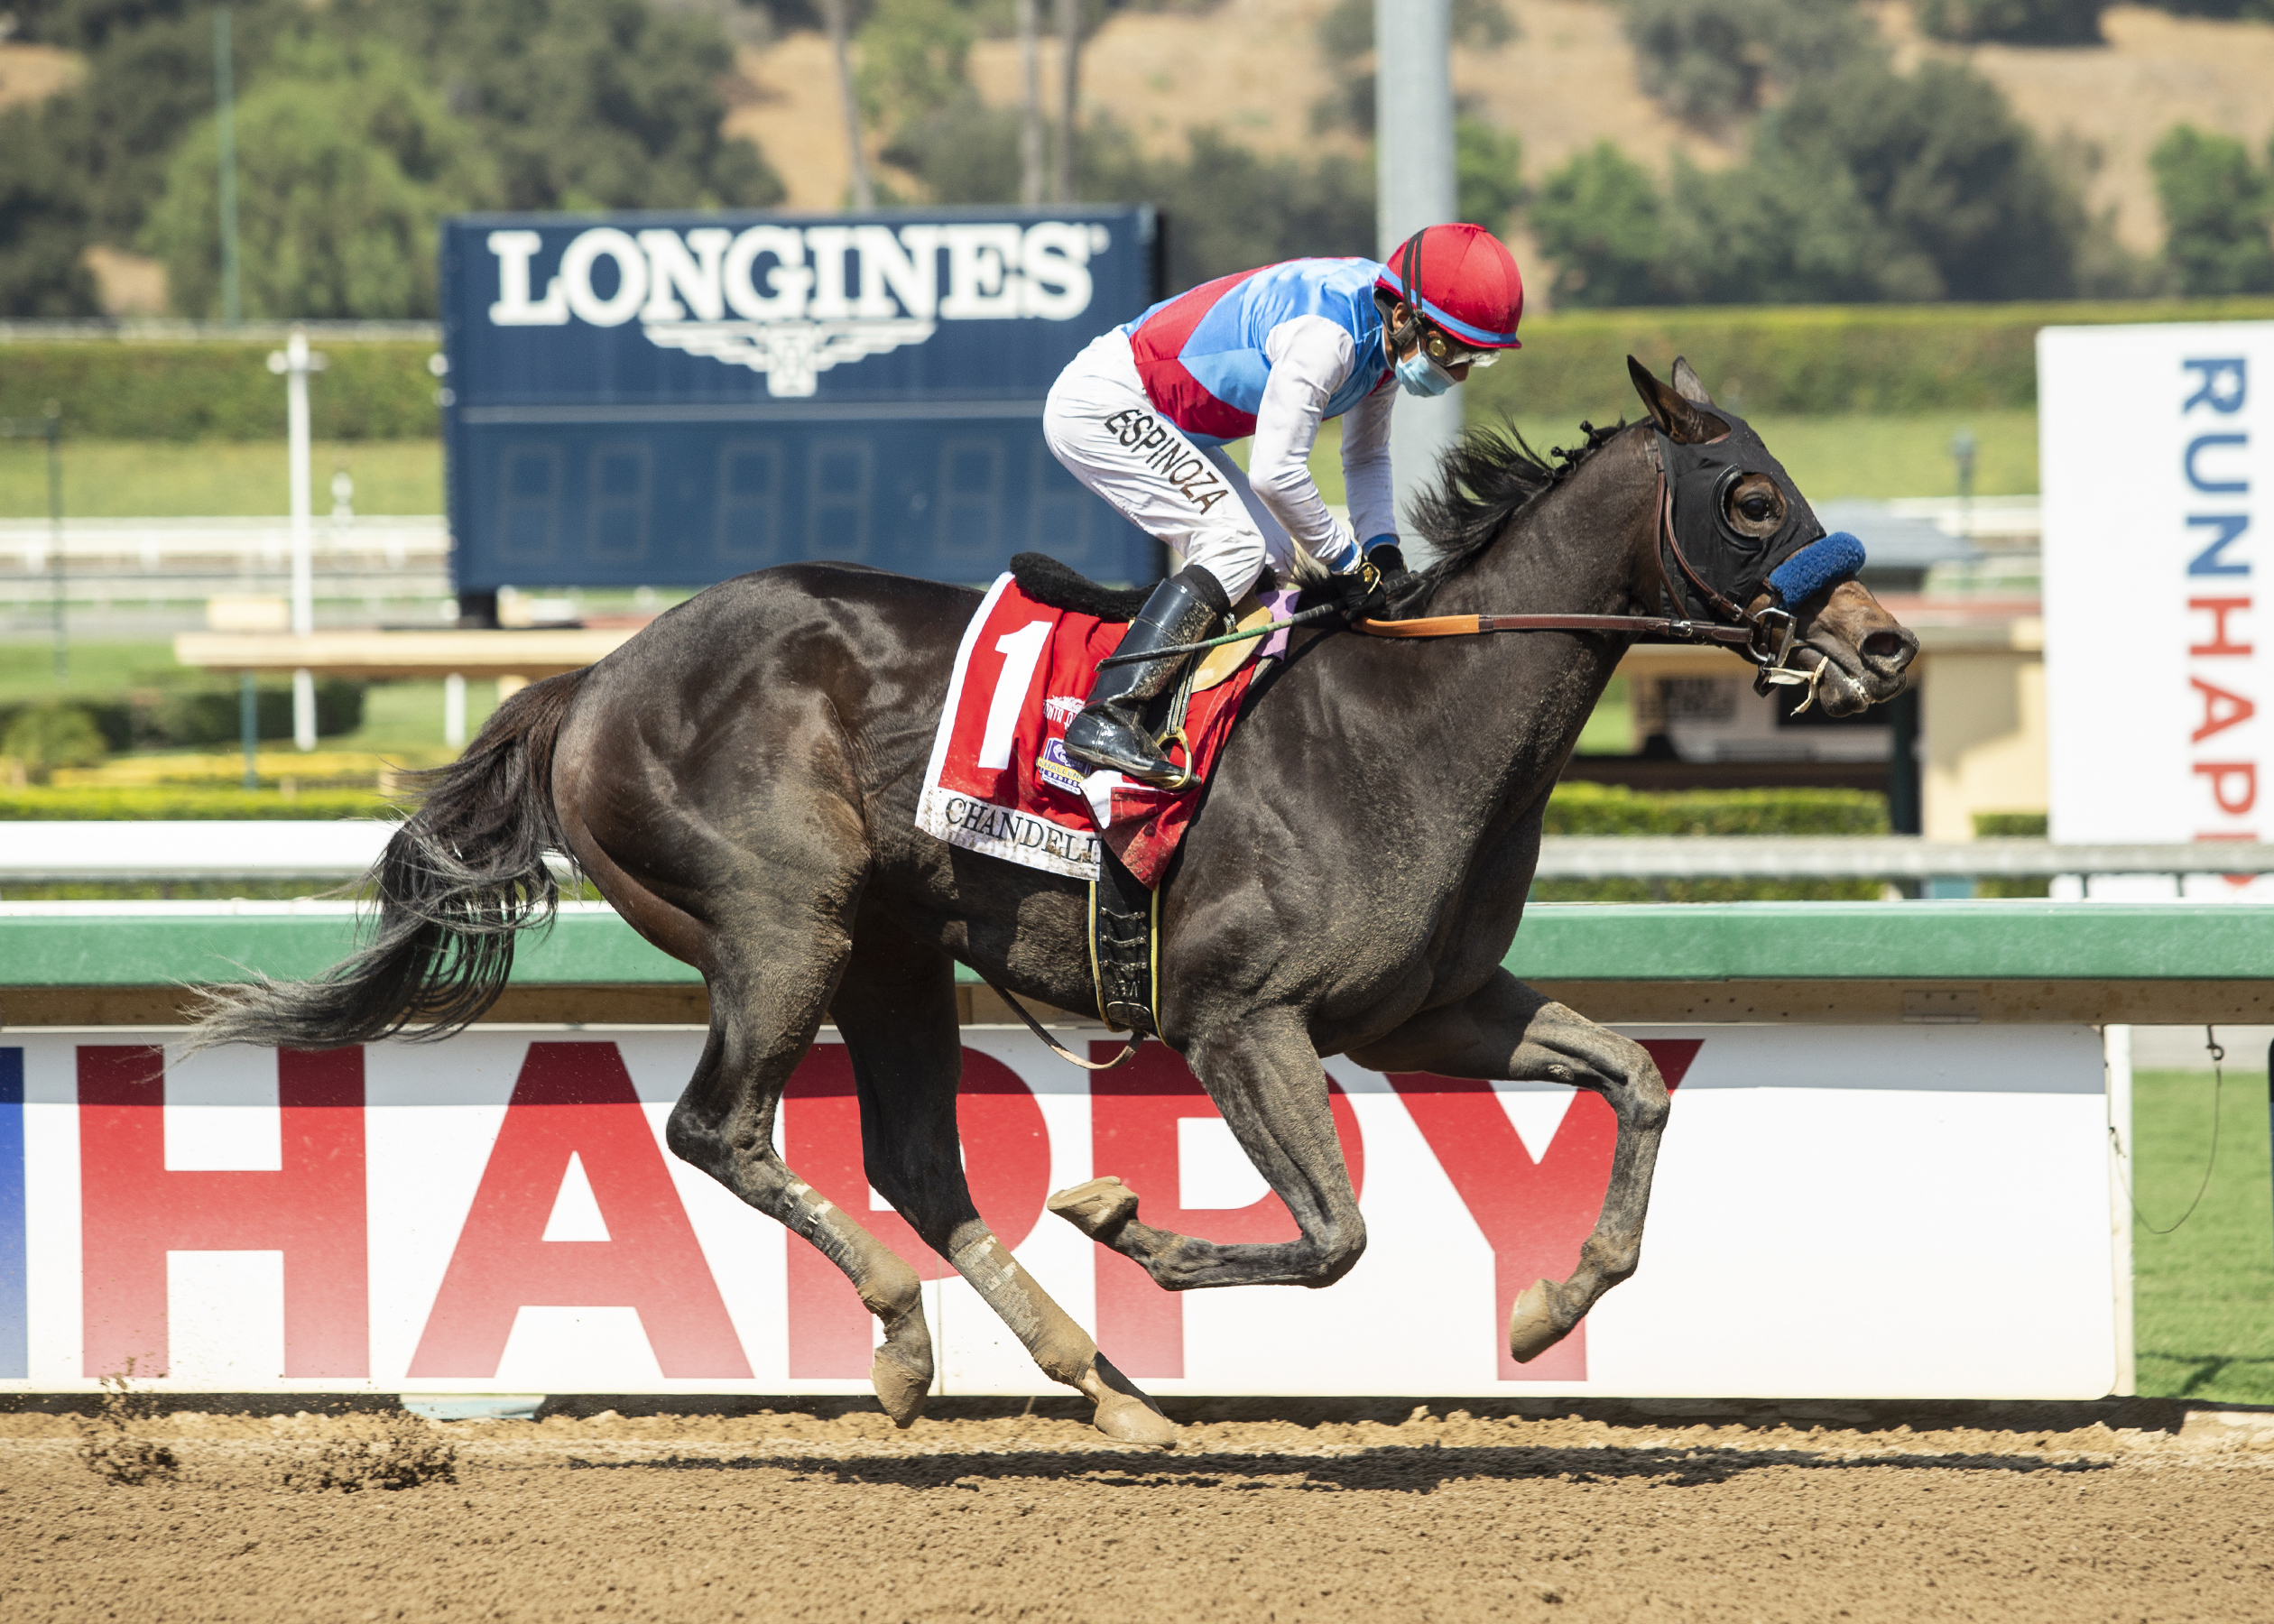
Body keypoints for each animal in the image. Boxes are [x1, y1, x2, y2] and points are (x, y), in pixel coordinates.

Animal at [199, 356, 1918, 1446]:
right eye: (1749, 498)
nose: (1887, 645)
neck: (1411, 719)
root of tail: (599, 673)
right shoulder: (1241, 1018)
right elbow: (1335, 1232)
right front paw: (1123, 1218)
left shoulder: (1431, 1012)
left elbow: (1635, 1083)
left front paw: (1557, 1303)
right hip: (786, 923)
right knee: (720, 1128)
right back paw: (907, 1340)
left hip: (892, 954)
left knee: (911, 1157)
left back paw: (1098, 1384)